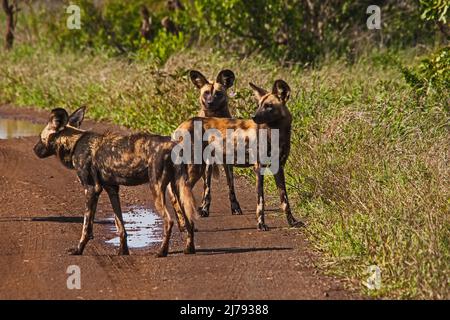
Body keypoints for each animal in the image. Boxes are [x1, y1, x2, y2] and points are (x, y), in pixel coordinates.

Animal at [33, 107, 197, 258]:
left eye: (41, 138)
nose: (34, 149)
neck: (74, 143)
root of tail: (174, 145)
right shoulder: (111, 189)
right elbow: (120, 225)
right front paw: (123, 251)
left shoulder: (91, 189)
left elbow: (86, 226)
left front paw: (78, 249)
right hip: (178, 189)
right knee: (189, 220)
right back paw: (189, 249)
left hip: (156, 189)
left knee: (169, 221)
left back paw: (162, 252)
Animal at [174, 79, 304, 230]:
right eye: (259, 105)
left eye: (268, 106)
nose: (253, 117)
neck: (276, 133)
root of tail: (183, 124)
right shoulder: (259, 169)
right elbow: (261, 200)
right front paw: (261, 224)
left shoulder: (279, 169)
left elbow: (285, 201)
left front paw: (292, 222)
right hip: (195, 169)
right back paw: (185, 226)